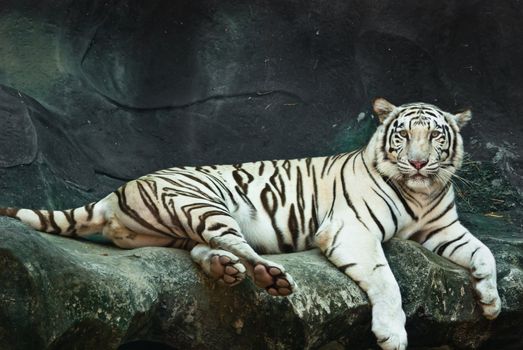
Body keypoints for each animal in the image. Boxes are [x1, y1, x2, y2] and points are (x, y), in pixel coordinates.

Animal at [0, 98, 502, 350]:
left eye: (435, 136)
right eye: (403, 136)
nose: (417, 163)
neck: (422, 193)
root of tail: (115, 192)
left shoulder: (443, 228)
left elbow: (485, 252)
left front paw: (492, 302)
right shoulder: (352, 231)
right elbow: (387, 280)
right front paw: (392, 334)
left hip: (181, 226)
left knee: (205, 249)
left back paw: (226, 271)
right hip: (203, 203)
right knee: (238, 247)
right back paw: (270, 277)